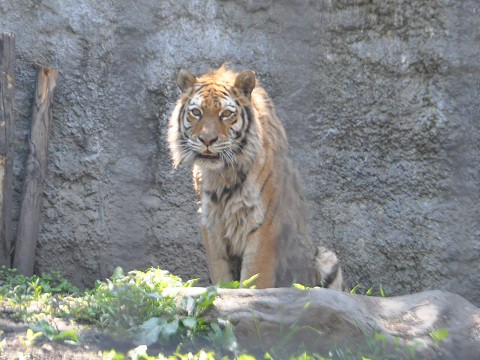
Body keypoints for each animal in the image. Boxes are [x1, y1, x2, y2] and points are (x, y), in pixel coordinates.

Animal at [168, 64, 344, 290]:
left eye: (226, 114)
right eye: (196, 112)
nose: (207, 140)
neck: (223, 174)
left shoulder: (264, 222)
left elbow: (255, 275)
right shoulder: (210, 222)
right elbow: (220, 273)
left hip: (326, 257)